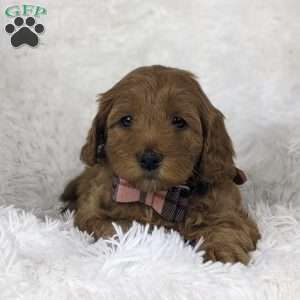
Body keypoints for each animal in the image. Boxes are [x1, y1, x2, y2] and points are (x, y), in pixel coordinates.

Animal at [61, 64, 260, 264]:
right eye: (126, 120)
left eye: (179, 121)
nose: (149, 158)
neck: (156, 197)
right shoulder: (91, 211)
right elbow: (116, 225)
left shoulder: (227, 208)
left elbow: (227, 225)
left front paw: (224, 254)